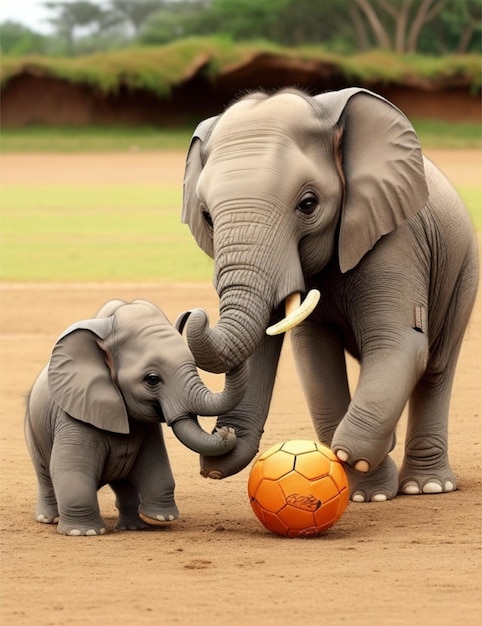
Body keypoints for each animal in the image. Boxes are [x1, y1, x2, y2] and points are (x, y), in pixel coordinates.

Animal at [181, 86, 478, 498]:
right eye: (207, 217)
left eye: (308, 204)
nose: (223, 435)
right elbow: (314, 357)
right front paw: (365, 490)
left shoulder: (396, 239)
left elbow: (400, 342)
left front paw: (352, 461)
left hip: (463, 267)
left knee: (437, 366)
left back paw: (428, 487)